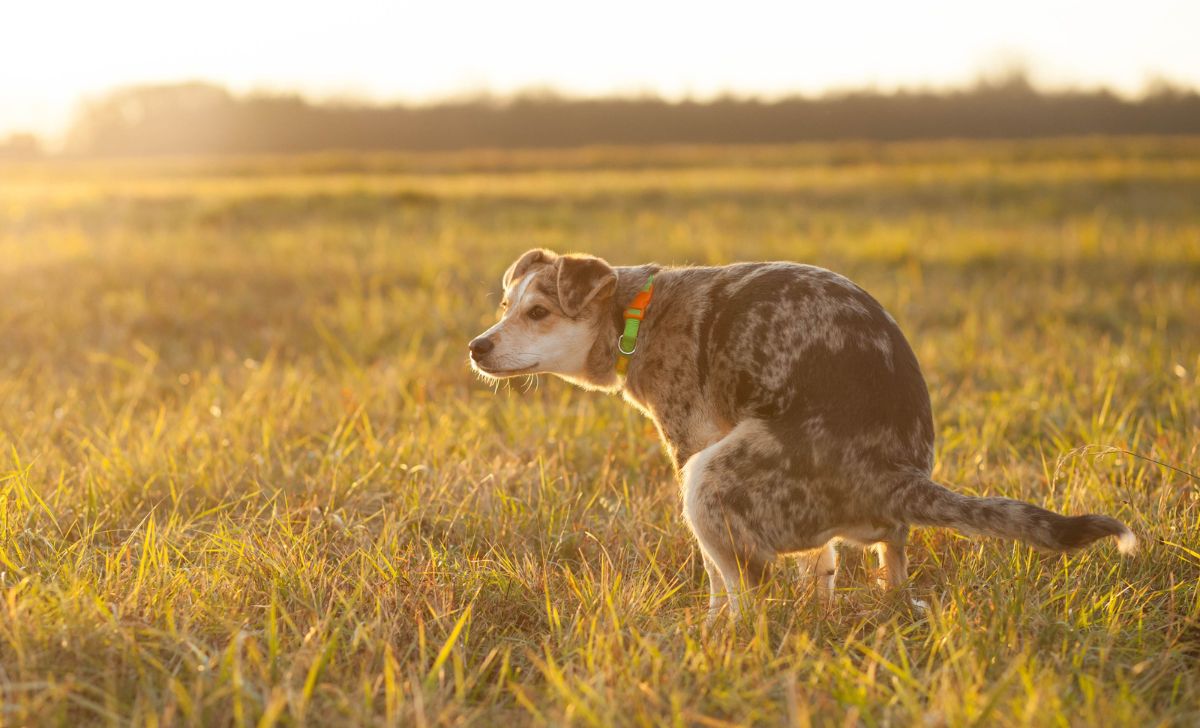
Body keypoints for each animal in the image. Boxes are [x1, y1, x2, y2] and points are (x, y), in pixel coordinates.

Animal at [468, 249, 1132, 618]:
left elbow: (717, 578)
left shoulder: (690, 445)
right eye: (504, 307)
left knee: (751, 593)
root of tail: (898, 476)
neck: (636, 313)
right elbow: (823, 564)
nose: (476, 347)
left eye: (538, 313)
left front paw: (711, 626)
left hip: (709, 478)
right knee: (888, 561)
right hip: (862, 526)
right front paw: (820, 603)